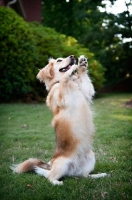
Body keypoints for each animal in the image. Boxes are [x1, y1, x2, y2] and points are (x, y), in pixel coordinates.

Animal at [10, 55, 106, 185]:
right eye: (59, 60)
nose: (72, 56)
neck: (71, 83)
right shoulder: (63, 98)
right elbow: (64, 80)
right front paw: (70, 72)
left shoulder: (86, 93)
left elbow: (85, 81)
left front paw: (82, 64)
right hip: (62, 164)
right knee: (49, 176)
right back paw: (57, 183)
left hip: (91, 157)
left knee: (85, 176)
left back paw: (99, 175)